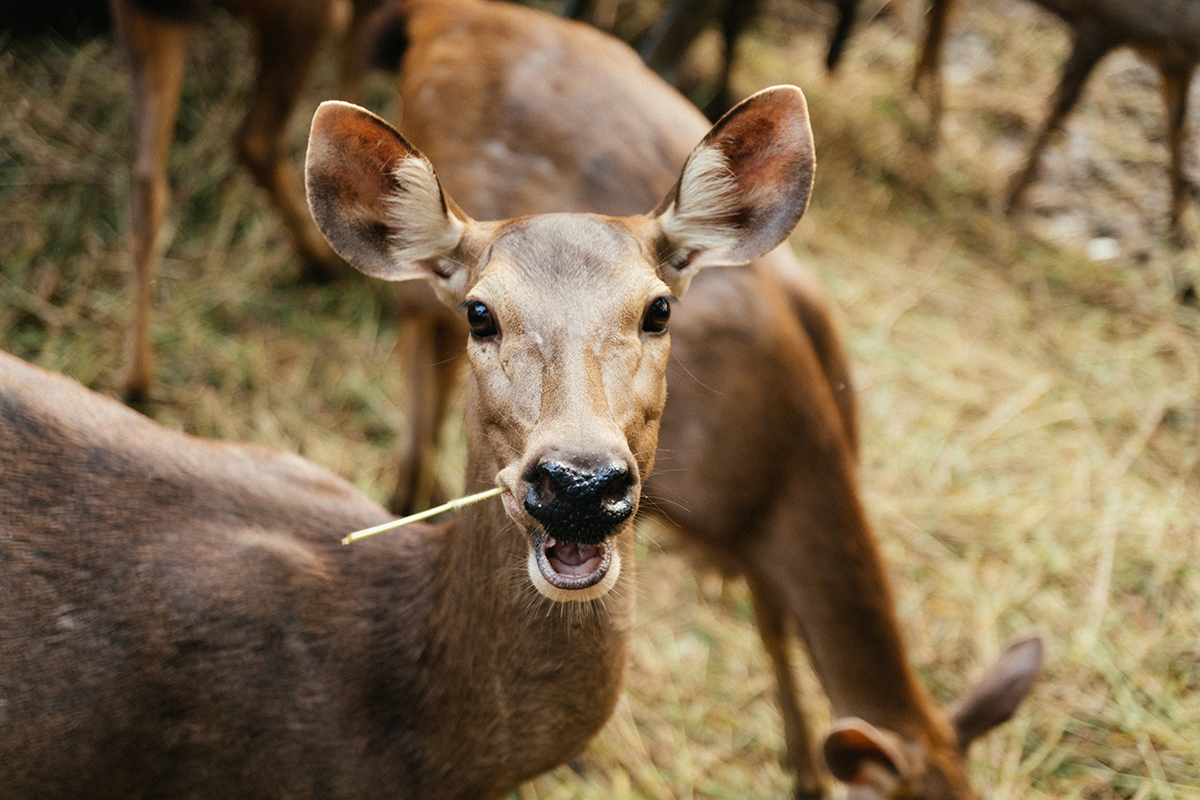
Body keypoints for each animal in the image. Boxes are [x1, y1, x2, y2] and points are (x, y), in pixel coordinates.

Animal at [111, 0, 386, 407]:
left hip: (149, 18)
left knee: (147, 182)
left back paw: (136, 382)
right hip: (303, 18)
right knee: (258, 139)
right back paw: (326, 262)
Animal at [912, 0, 1195, 236]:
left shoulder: (1176, 62)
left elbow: (1178, 127)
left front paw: (1179, 225)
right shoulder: (1102, 25)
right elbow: (1060, 108)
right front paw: (1012, 200)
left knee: (937, 24)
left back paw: (923, 113)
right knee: (938, 25)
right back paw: (931, 126)